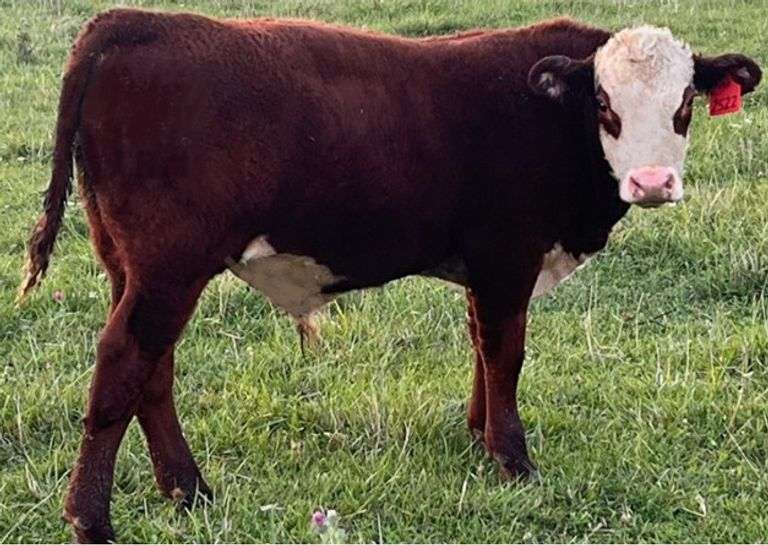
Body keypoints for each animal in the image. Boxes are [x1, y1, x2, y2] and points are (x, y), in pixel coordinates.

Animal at [19, 8, 761, 542]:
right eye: (604, 103)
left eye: (684, 102)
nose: (652, 181)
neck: (548, 115)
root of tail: (136, 21)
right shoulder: (508, 256)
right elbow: (506, 351)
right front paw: (513, 458)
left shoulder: (484, 266)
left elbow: (481, 346)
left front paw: (478, 434)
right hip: (168, 265)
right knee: (124, 360)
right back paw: (91, 518)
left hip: (134, 265)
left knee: (154, 368)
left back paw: (187, 489)